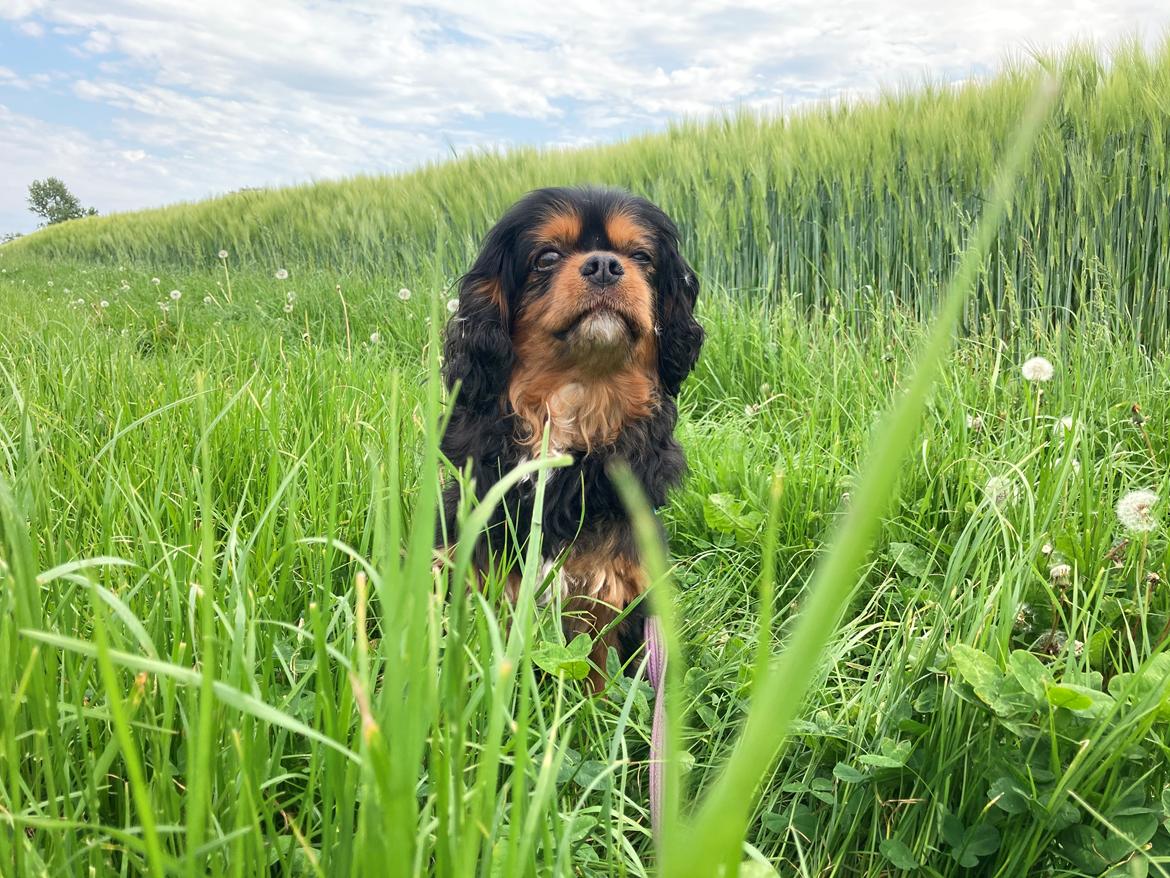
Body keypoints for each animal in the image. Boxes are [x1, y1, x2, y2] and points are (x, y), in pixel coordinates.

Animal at [435, 187, 697, 693]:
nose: (605, 264)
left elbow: (594, 680)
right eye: (548, 257)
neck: (575, 399)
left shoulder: (610, 589)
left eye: (641, 257)